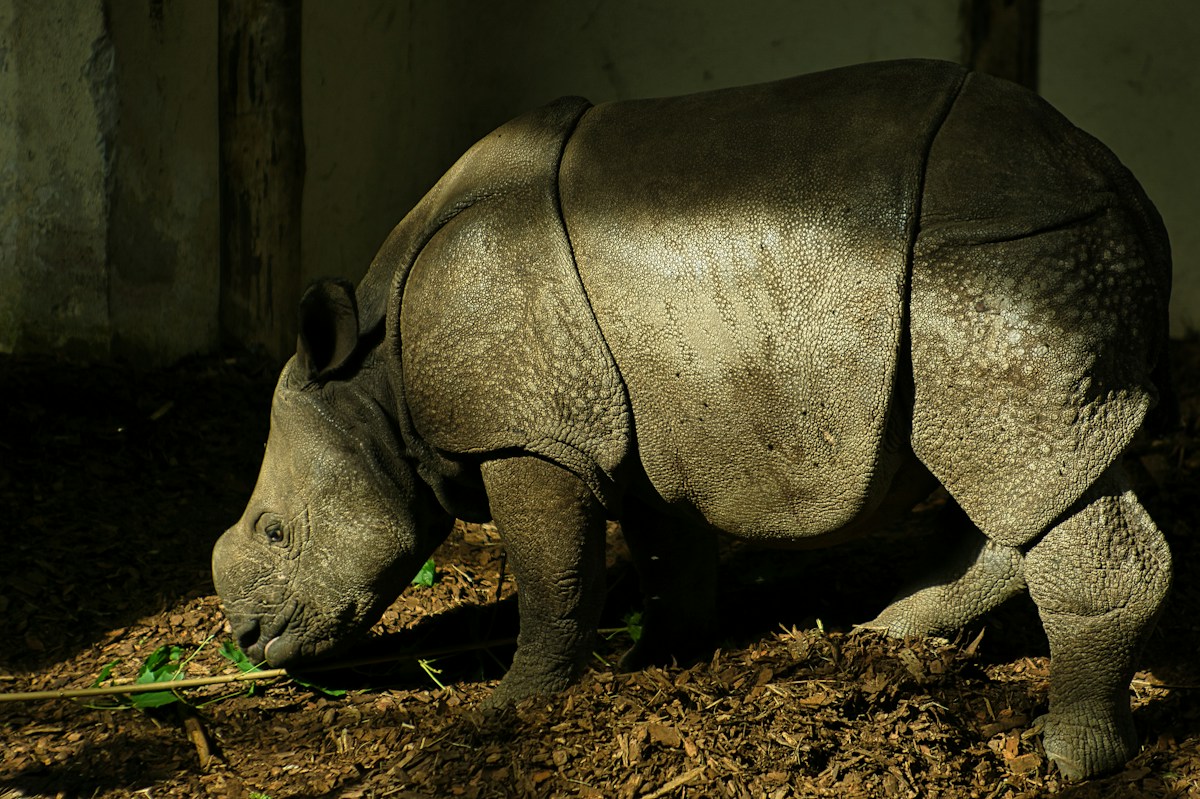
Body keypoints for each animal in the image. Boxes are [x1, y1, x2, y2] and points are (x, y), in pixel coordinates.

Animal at [212, 59, 1172, 780]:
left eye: (275, 531)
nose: (250, 641)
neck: (376, 378)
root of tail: (1119, 179)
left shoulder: (530, 434)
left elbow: (553, 576)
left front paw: (511, 707)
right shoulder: (640, 428)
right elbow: (666, 550)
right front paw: (658, 661)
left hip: (1004, 258)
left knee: (1019, 465)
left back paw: (1070, 757)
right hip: (1023, 262)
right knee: (1030, 469)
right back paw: (887, 633)